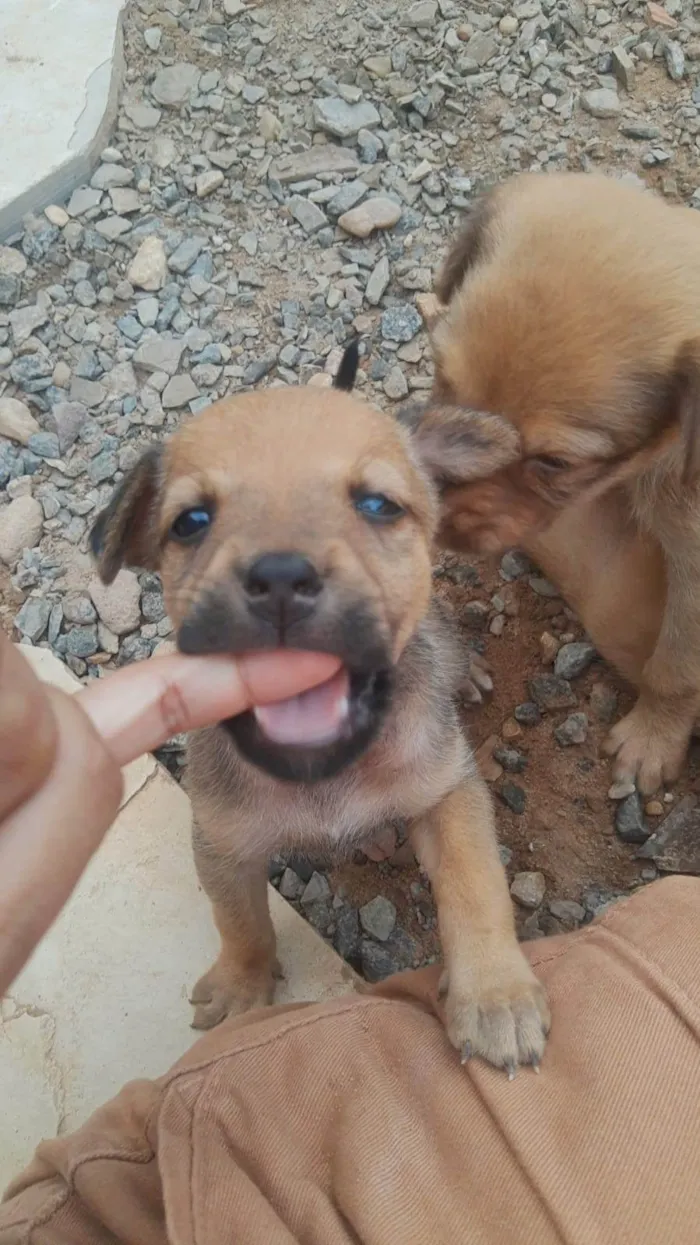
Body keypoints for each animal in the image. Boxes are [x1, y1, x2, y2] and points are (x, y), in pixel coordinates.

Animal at [88, 353, 545, 1080]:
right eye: (191, 521)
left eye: (379, 505)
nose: (280, 578)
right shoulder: (222, 840)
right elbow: (240, 921)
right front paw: (242, 986)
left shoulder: (447, 794)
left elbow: (476, 887)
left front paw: (496, 993)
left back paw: (465, 670)